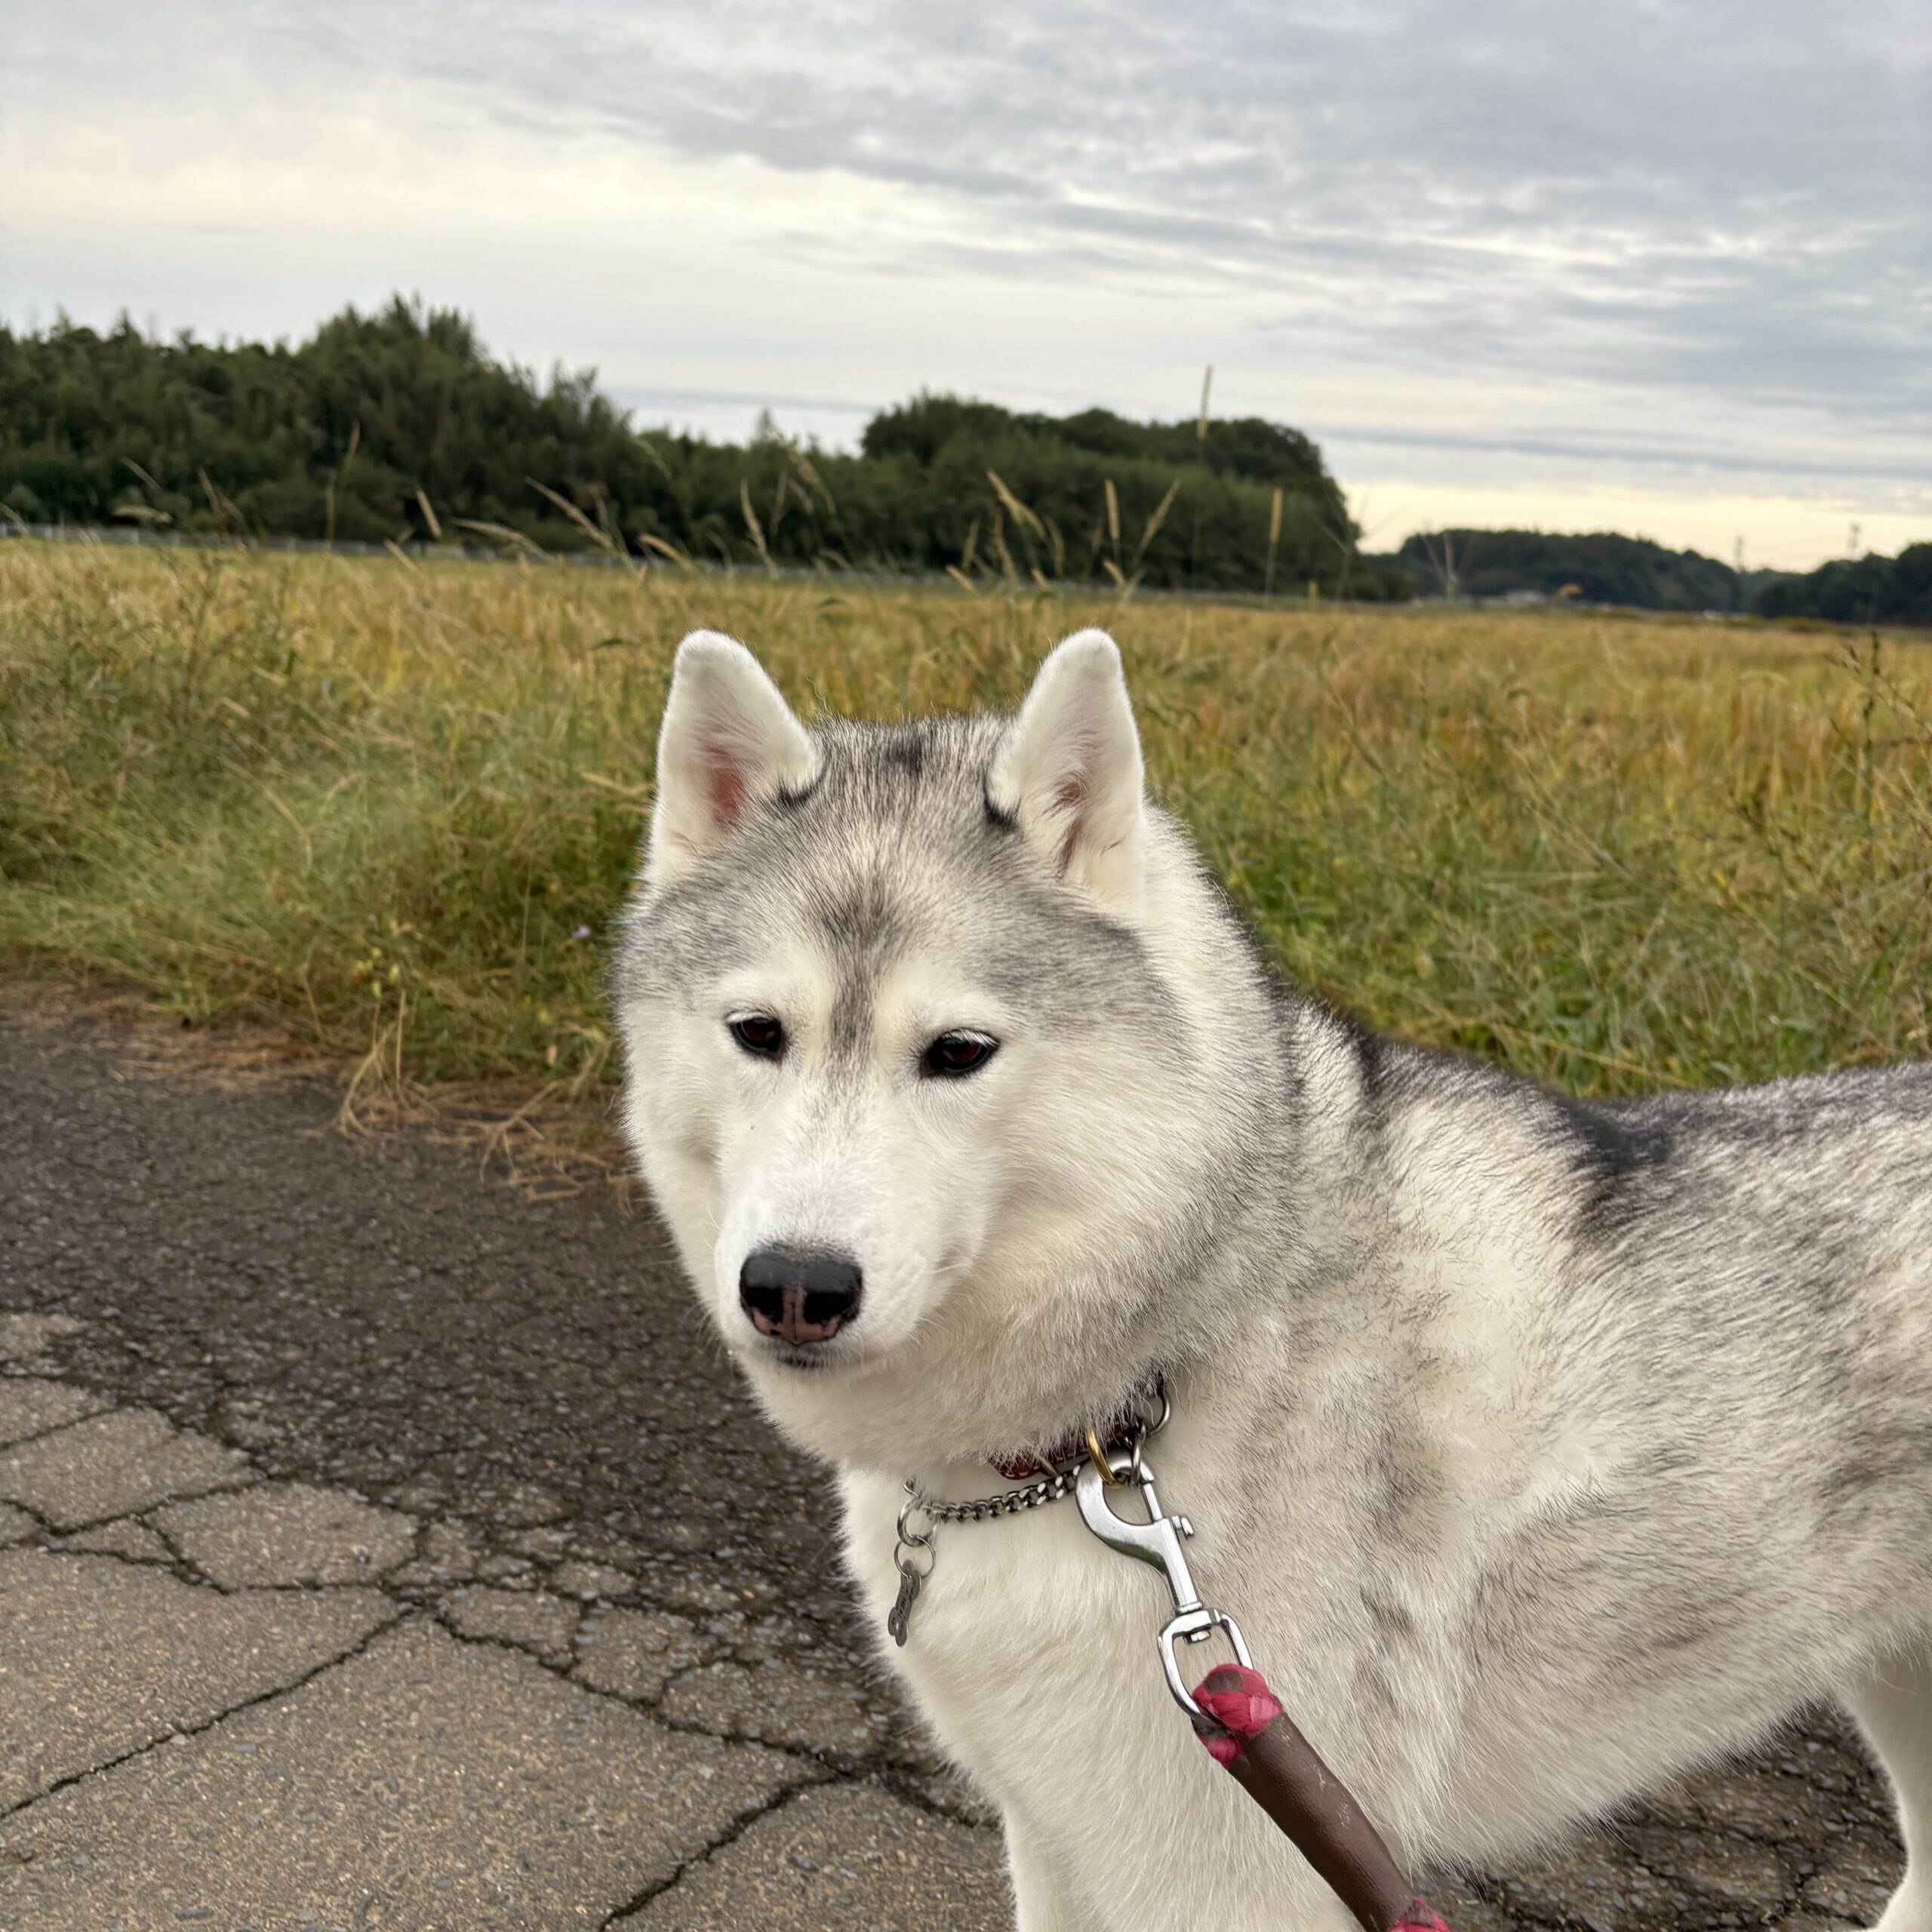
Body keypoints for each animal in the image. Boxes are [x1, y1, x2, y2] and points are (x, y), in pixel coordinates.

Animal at [615, 626, 1932, 1932]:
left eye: (958, 1052)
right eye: (758, 1033)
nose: (794, 1285)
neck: (1127, 1414)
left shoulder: (1239, 1875)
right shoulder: (1055, 1836)